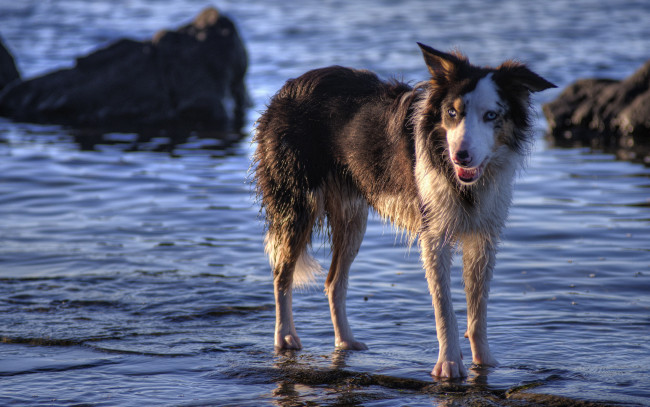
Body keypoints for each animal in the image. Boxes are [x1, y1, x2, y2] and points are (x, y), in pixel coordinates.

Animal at [251, 43, 556, 380]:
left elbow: (478, 310)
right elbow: (445, 309)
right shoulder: (434, 235)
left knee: (333, 282)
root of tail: (289, 87)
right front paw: (449, 365)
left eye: (491, 116)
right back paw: (284, 337)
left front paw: (485, 362)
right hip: (298, 204)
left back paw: (346, 342)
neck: (465, 182)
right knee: (282, 274)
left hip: (352, 219)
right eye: (452, 113)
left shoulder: (483, 236)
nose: (460, 157)